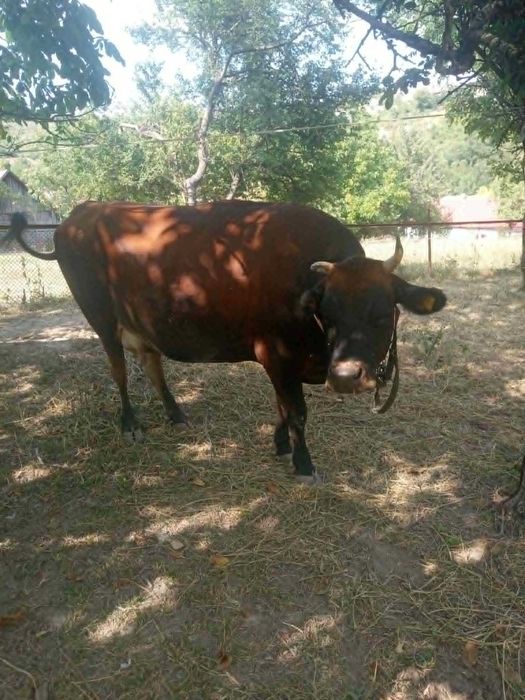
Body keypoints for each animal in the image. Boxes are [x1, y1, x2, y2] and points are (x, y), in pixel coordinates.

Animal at [6, 200, 447, 483]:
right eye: (329, 313)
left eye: (383, 314)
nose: (345, 376)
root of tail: (78, 214)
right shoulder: (276, 355)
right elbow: (297, 412)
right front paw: (303, 463)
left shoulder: (283, 364)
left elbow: (282, 408)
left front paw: (281, 444)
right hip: (99, 317)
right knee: (119, 371)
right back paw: (130, 424)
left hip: (141, 323)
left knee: (151, 363)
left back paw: (176, 414)